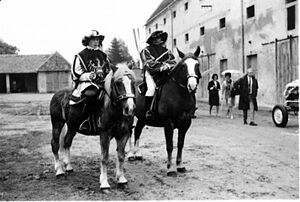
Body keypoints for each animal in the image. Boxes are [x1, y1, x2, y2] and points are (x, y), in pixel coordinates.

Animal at [127, 46, 200, 176]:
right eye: (183, 66)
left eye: (197, 65)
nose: (192, 86)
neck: (179, 94)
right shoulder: (168, 123)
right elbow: (170, 145)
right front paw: (170, 168)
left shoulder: (186, 123)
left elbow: (180, 144)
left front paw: (180, 165)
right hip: (130, 116)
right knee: (130, 131)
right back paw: (131, 154)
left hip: (142, 118)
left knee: (137, 131)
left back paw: (138, 154)